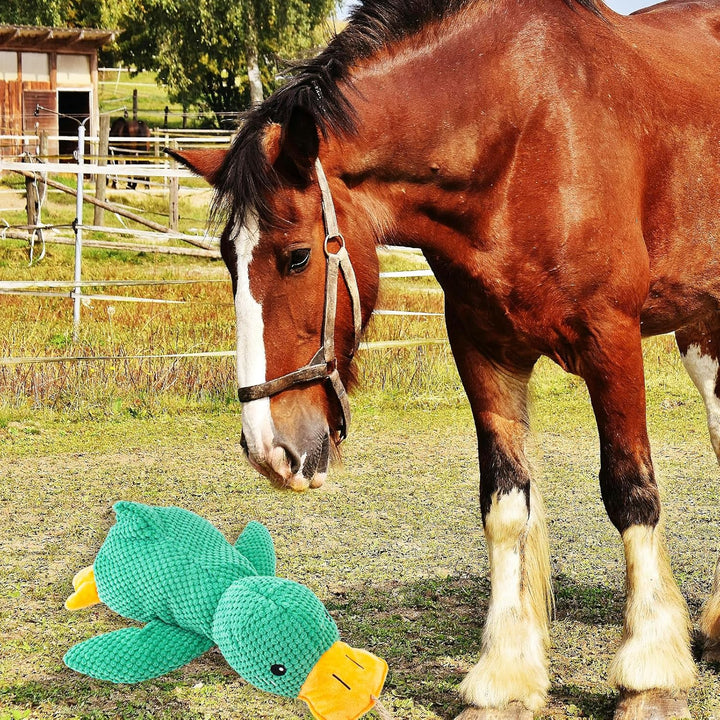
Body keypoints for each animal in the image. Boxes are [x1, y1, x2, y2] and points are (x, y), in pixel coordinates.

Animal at [169, 0, 720, 717]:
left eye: (296, 256)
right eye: (227, 260)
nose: (270, 450)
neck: (525, 137)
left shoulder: (613, 340)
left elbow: (631, 493)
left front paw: (650, 674)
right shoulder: (484, 350)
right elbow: (506, 507)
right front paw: (505, 679)